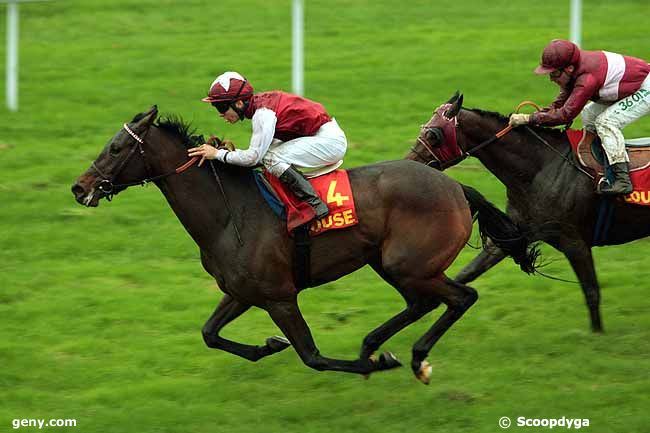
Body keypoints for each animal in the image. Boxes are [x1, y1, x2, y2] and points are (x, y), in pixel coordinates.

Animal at [71, 106, 536, 384]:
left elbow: (311, 355)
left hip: (409, 264)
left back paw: (413, 357)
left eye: (116, 147)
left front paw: (373, 364)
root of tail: (456, 185)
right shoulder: (242, 292)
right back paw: (377, 343)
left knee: (461, 297)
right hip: (391, 263)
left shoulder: (279, 296)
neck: (229, 213)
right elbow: (209, 334)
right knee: (423, 303)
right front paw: (268, 345)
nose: (80, 187)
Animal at [408, 93, 650, 332]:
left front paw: (596, 335)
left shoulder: (574, 241)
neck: (541, 168)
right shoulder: (513, 233)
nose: (410, 162)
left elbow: (591, 292)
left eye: (432, 134)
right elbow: (466, 273)